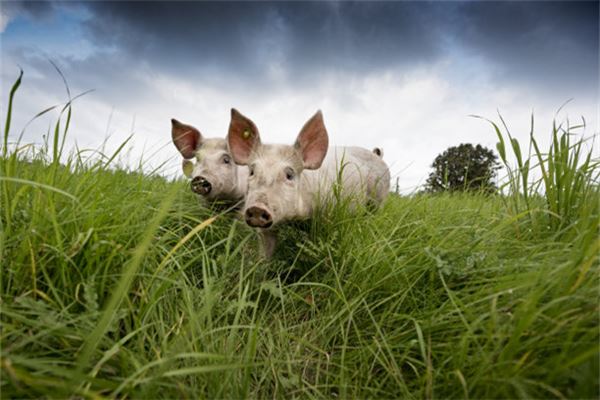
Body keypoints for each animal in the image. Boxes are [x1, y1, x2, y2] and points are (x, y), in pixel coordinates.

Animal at [227, 108, 392, 256]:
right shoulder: (266, 230)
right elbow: (266, 252)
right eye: (252, 171)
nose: (257, 208)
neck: (294, 220)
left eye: (289, 175)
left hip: (379, 201)